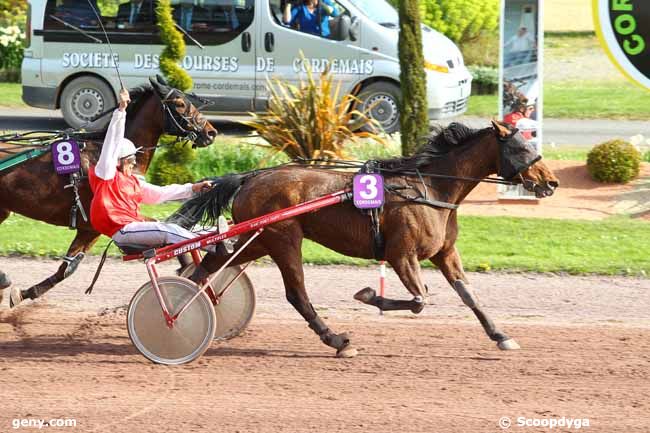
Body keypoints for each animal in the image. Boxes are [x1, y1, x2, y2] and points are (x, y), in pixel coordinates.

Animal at [0, 77, 218, 308]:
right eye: (179, 103)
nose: (211, 132)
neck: (111, 157)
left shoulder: (88, 230)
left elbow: (66, 269)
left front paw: (26, 292)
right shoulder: (100, 222)